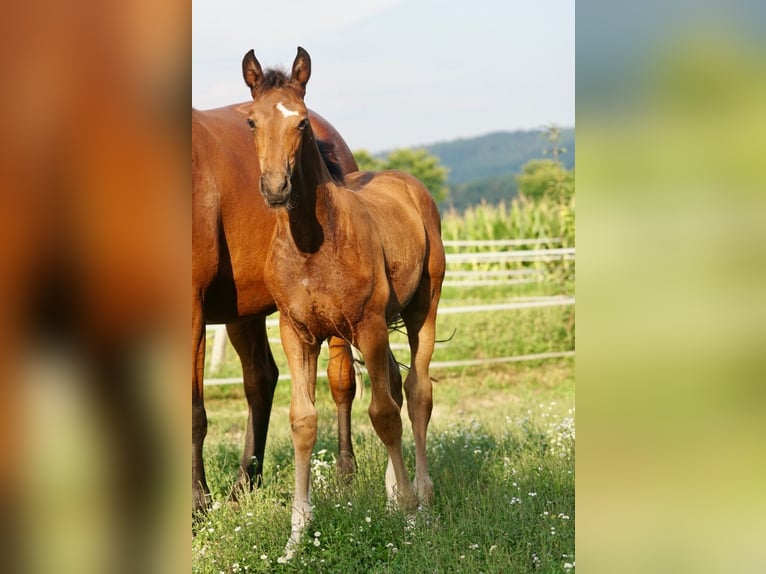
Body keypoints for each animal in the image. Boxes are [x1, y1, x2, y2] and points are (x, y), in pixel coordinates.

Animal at [192, 98, 361, 512]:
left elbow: (193, 411)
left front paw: (198, 504)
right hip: (242, 311)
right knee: (261, 379)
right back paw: (244, 483)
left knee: (341, 382)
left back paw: (345, 473)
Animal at [241, 47, 445, 558]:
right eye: (251, 121)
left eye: (301, 121)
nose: (276, 188)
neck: (312, 243)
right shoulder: (296, 332)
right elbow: (302, 421)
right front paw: (295, 537)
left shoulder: (367, 324)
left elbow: (384, 415)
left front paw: (409, 516)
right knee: (395, 384)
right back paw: (396, 494)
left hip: (421, 309)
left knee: (416, 393)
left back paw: (423, 499)